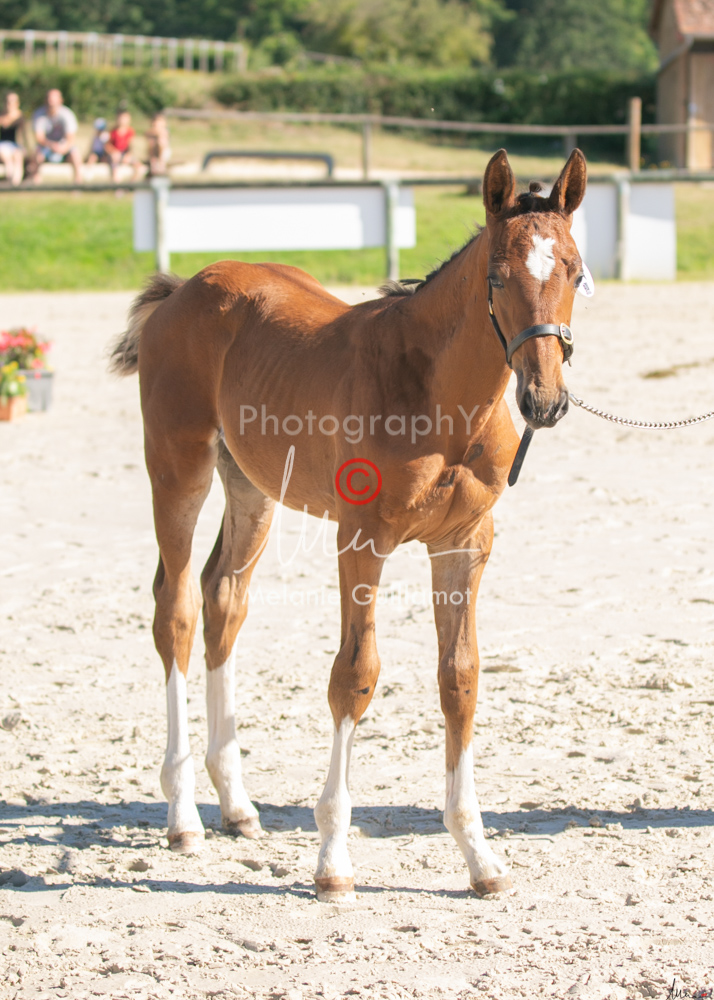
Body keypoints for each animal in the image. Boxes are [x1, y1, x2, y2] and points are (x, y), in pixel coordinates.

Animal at [110, 147, 588, 900]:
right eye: (498, 277)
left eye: (573, 270)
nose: (545, 400)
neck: (437, 396)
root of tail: (184, 289)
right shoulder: (361, 540)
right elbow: (355, 676)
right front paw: (333, 860)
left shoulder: (464, 544)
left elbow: (461, 679)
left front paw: (480, 857)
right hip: (178, 468)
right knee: (177, 611)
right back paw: (183, 814)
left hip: (251, 487)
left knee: (224, 601)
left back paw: (236, 805)